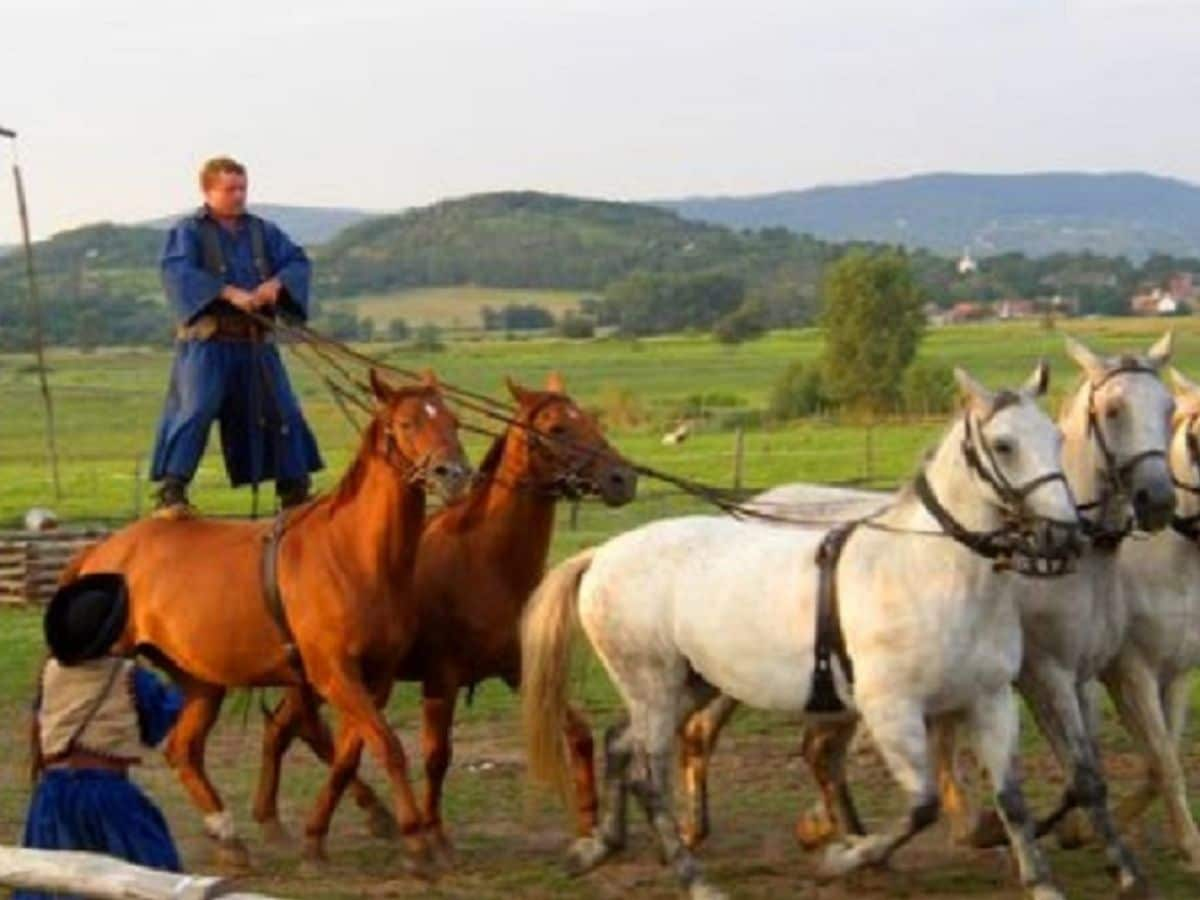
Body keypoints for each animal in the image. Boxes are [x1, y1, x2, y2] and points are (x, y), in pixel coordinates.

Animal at [63, 372, 468, 873]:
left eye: (453, 420)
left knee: (184, 750)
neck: (354, 553)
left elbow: (350, 754)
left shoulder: (375, 679)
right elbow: (386, 746)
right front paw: (415, 841)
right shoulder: (333, 674)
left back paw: (228, 838)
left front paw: (321, 837)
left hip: (202, 681)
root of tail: (100, 552)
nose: (455, 475)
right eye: (408, 423)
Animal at [247, 374, 633, 859]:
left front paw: (588, 826)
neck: (484, 560)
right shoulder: (441, 678)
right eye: (557, 428)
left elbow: (579, 733)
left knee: (286, 728)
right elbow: (436, 756)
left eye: (588, 418)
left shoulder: (517, 669)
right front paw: (434, 834)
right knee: (297, 730)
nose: (623, 478)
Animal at [523, 364, 1080, 900]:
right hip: (653, 688)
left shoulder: (990, 700)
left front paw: (1042, 883)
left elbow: (1011, 799)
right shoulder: (891, 709)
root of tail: (602, 555)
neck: (929, 572)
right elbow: (921, 806)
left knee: (620, 743)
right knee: (646, 776)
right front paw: (843, 857)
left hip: (688, 684)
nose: (1065, 536)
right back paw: (694, 879)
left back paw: (601, 846)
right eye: (1004, 445)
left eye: (1057, 437)